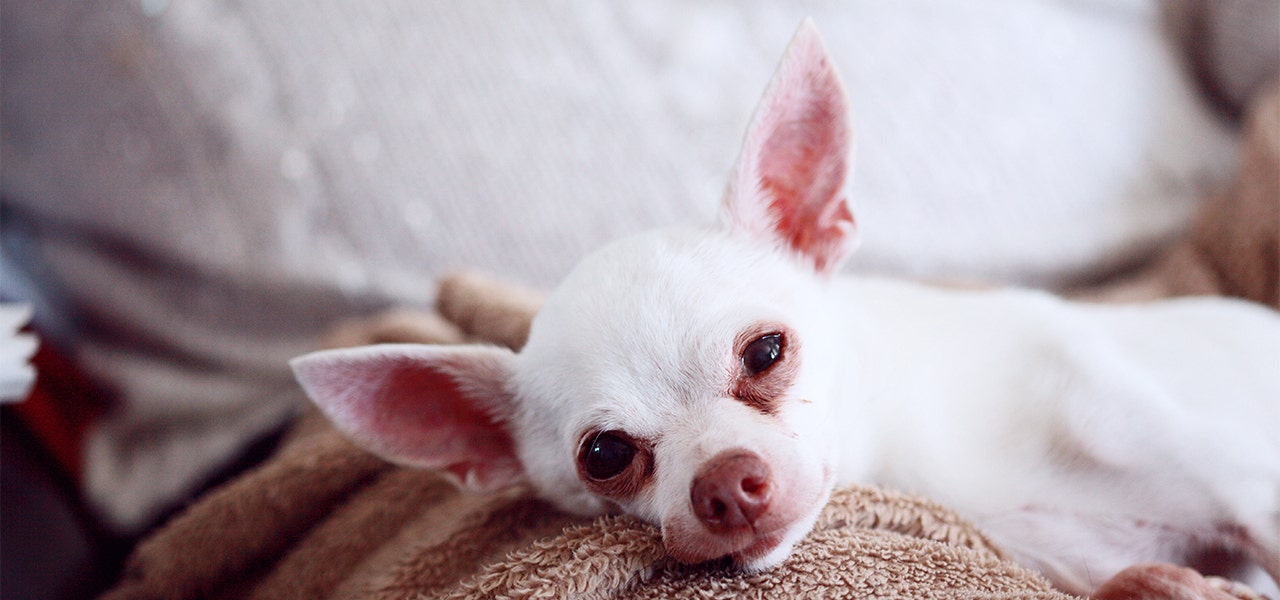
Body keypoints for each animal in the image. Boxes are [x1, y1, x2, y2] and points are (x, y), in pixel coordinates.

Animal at [293, 19, 1280, 593]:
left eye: (766, 353)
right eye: (605, 455)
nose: (726, 484)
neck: (938, 449)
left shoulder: (1237, 484)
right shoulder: (1073, 559)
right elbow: (1145, 579)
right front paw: (1183, 585)